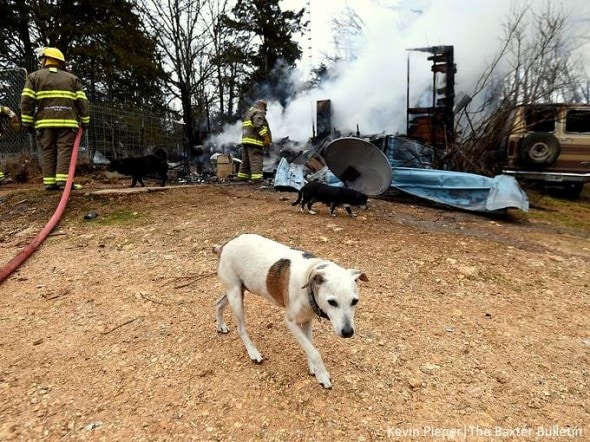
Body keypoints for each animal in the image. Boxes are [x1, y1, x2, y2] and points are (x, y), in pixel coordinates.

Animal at [213, 233, 370, 388]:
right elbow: (314, 351)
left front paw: (313, 368)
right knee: (240, 328)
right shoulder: (291, 322)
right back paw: (253, 352)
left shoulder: (307, 320)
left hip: (238, 290)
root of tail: (225, 244)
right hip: (236, 296)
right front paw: (323, 375)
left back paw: (220, 325)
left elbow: (309, 345)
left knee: (218, 303)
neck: (309, 278)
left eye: (355, 301)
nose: (348, 332)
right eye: (331, 302)